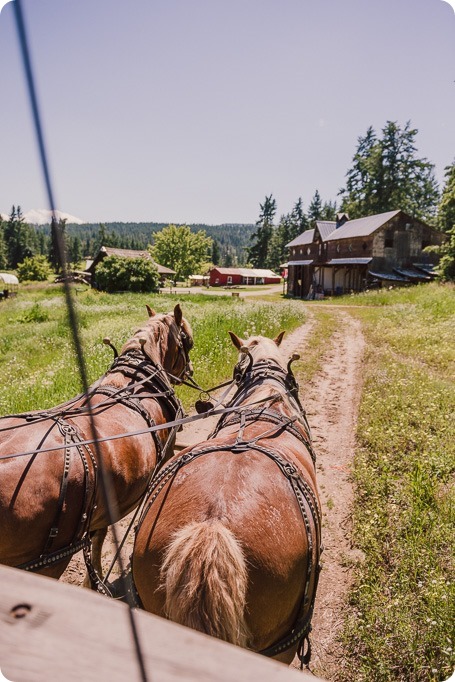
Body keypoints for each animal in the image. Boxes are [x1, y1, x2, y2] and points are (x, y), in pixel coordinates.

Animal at [0, 302, 193, 584]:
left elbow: (99, 534)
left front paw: (93, 579)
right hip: (48, 561)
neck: (135, 382)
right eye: (188, 340)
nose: (190, 371)